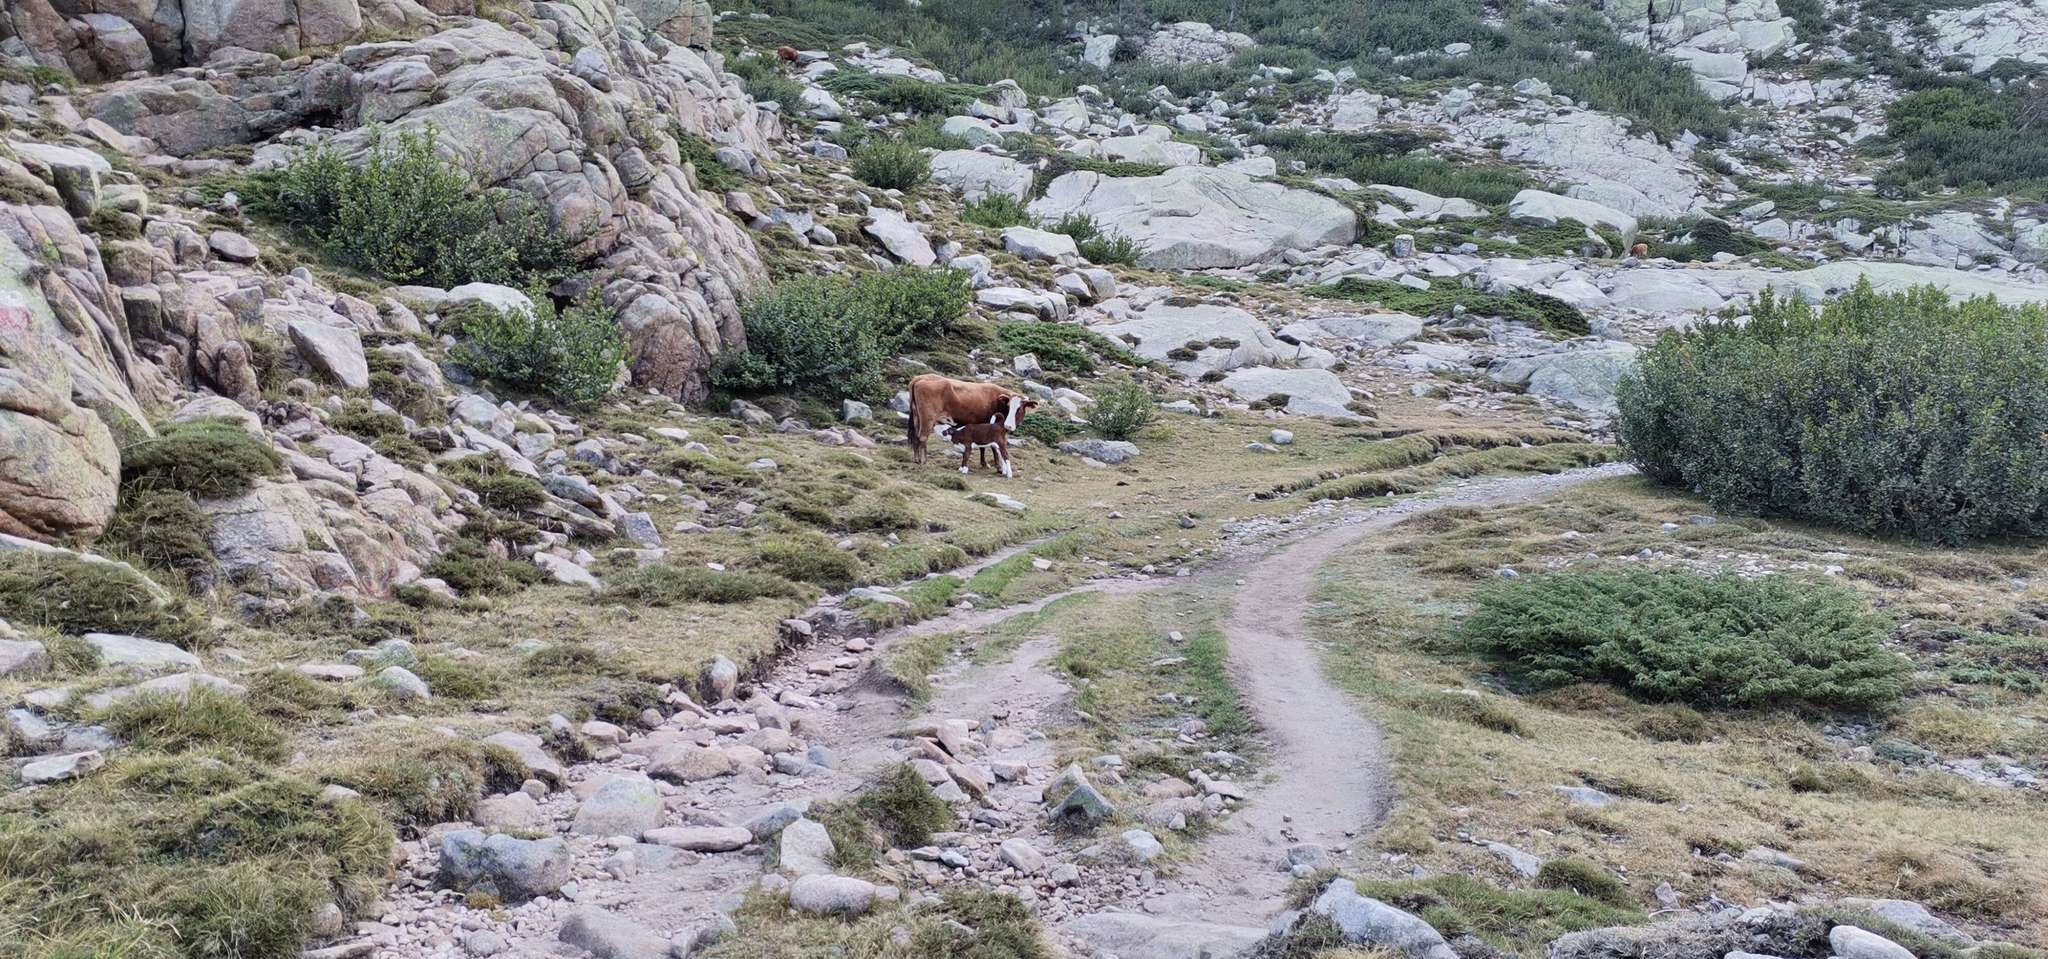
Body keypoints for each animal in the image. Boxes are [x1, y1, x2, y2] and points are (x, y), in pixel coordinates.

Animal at [906, 373, 1037, 464]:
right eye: (1009, 406)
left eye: (1020, 408)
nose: (1008, 425)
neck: (997, 400)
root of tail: (919, 378)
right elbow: (992, 447)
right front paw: (996, 466)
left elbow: (983, 446)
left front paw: (984, 463)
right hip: (927, 418)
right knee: (923, 437)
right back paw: (924, 460)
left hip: (917, 417)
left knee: (916, 436)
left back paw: (916, 459)